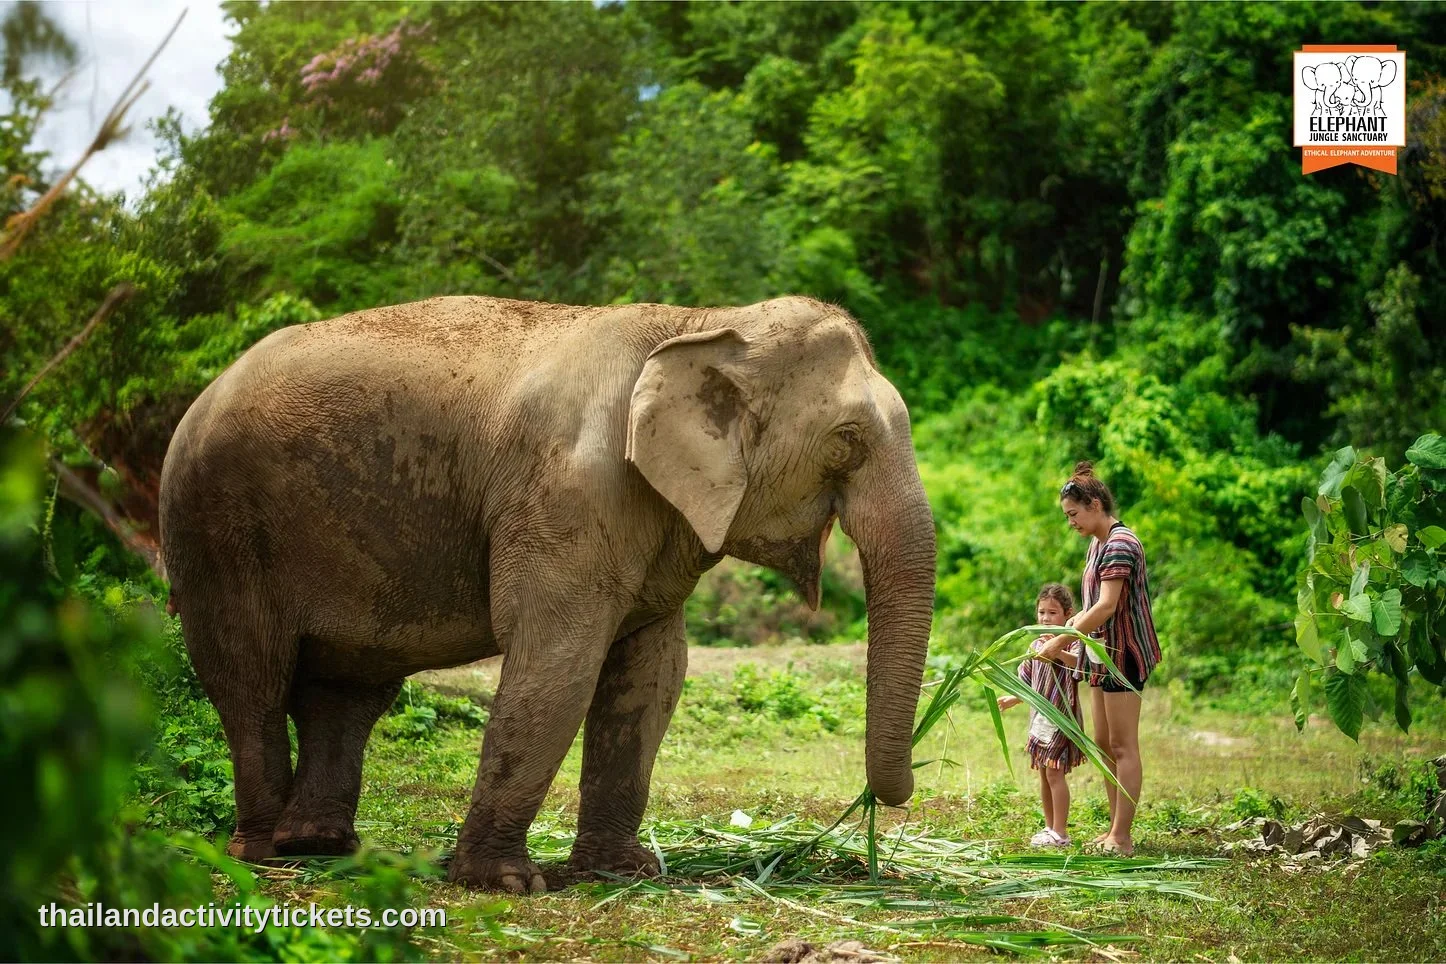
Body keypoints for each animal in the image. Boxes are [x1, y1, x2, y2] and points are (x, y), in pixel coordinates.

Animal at [158, 295, 937, 892]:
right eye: (846, 439)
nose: (889, 800)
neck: (704, 321)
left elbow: (652, 672)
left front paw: (622, 874)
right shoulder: (568, 493)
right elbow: (558, 658)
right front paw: (506, 884)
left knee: (344, 692)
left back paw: (322, 848)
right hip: (215, 526)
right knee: (250, 677)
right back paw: (264, 854)